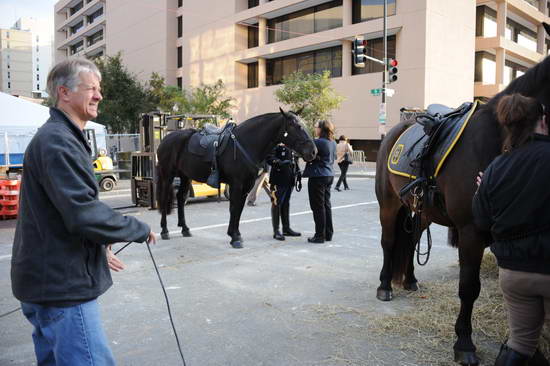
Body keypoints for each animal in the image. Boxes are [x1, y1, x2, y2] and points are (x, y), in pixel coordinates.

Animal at [157, 108, 316, 249]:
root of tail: (166, 139)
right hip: (168, 174)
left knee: (180, 197)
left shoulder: (247, 185)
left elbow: (238, 209)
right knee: (165, 198)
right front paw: (234, 238)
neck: (246, 144)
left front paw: (236, 234)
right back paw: (164, 231)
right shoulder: (237, 184)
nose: (313, 151)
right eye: (297, 126)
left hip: (185, 176)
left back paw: (185, 229)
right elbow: (234, 208)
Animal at [378, 54, 550, 364]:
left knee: (411, 241)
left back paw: (410, 280)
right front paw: (465, 344)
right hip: (388, 203)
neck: (500, 137)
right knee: (388, 242)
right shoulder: (471, 232)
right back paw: (385, 286)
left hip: (424, 212)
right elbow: (469, 288)